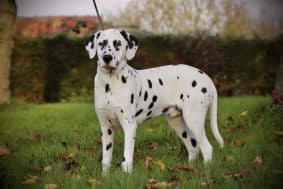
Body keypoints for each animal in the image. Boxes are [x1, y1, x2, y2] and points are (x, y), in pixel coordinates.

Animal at [84, 28, 224, 174]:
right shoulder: (106, 128)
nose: (107, 58)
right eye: (101, 43)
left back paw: (206, 171)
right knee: (193, 146)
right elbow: (106, 159)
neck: (110, 84)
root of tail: (206, 77)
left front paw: (127, 174)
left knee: (207, 148)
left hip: (193, 120)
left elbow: (126, 158)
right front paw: (104, 176)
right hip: (178, 123)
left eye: (118, 44)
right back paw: (189, 168)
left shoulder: (129, 125)